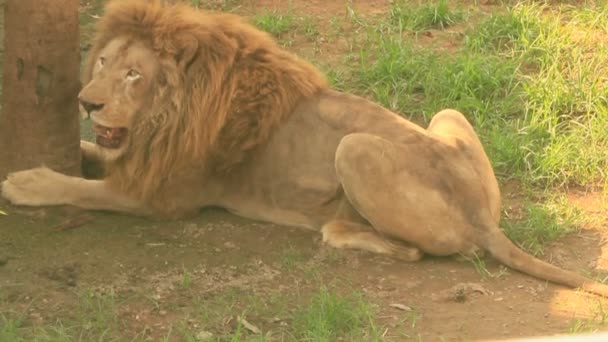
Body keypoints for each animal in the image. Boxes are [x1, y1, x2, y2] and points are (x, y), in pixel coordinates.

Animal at [1, 0, 608, 296]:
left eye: (133, 74)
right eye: (102, 61)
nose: (86, 101)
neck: (166, 116)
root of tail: (482, 216)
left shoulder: (165, 199)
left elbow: (83, 186)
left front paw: (25, 181)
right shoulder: (141, 157)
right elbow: (95, 154)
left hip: (354, 149)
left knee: (417, 251)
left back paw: (337, 229)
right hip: (447, 115)